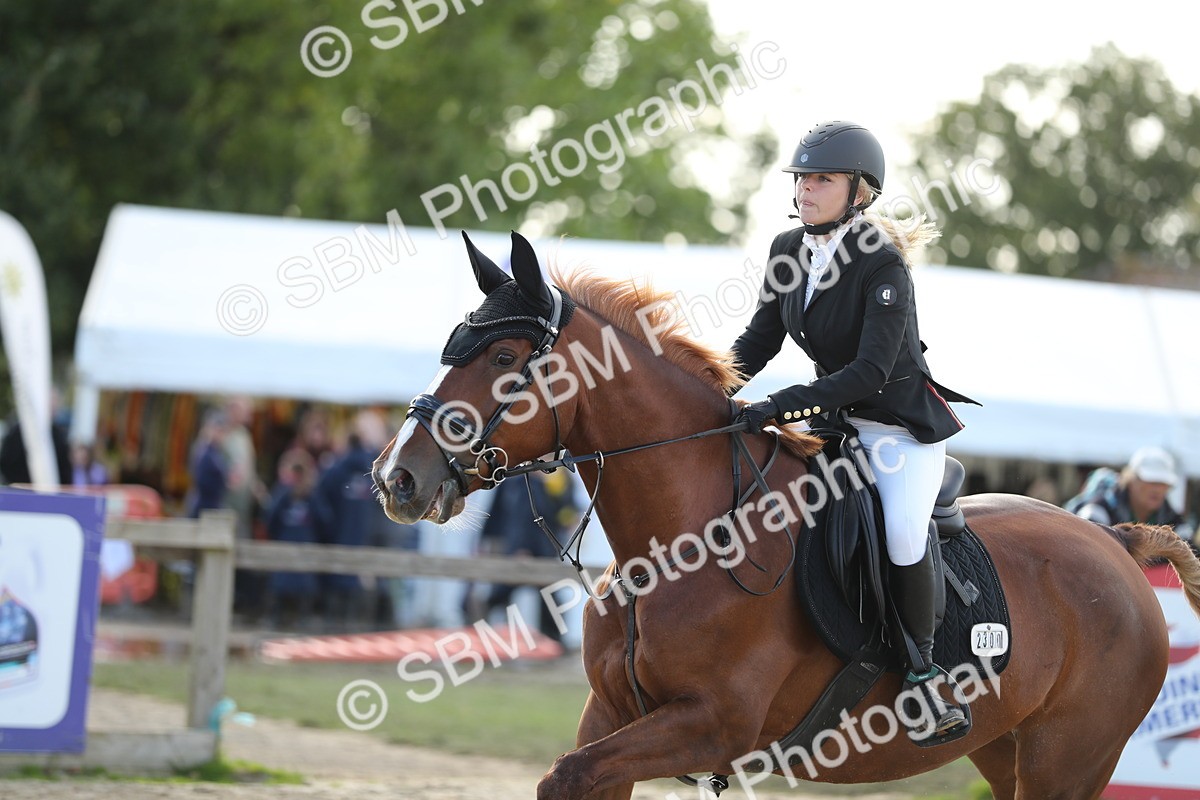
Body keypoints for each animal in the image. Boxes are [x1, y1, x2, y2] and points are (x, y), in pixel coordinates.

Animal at [373, 231, 1200, 800]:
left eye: (505, 358)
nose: (396, 477)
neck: (678, 543)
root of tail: (1114, 542)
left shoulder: (711, 725)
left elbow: (570, 774)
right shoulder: (610, 715)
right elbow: (568, 775)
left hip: (1071, 755)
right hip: (1007, 746)